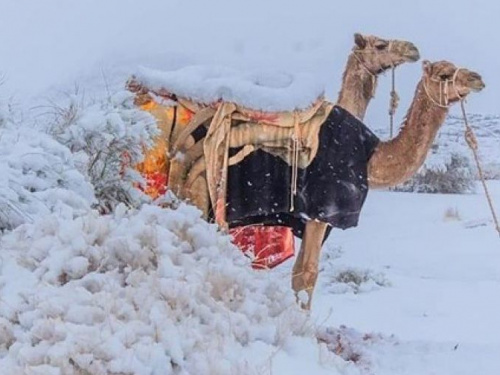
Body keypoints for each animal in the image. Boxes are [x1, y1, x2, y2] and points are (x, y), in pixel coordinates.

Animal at [292, 60, 484, 310]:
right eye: (444, 74)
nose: (477, 78)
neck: (369, 156)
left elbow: (298, 274)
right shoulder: (321, 209)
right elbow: (306, 276)